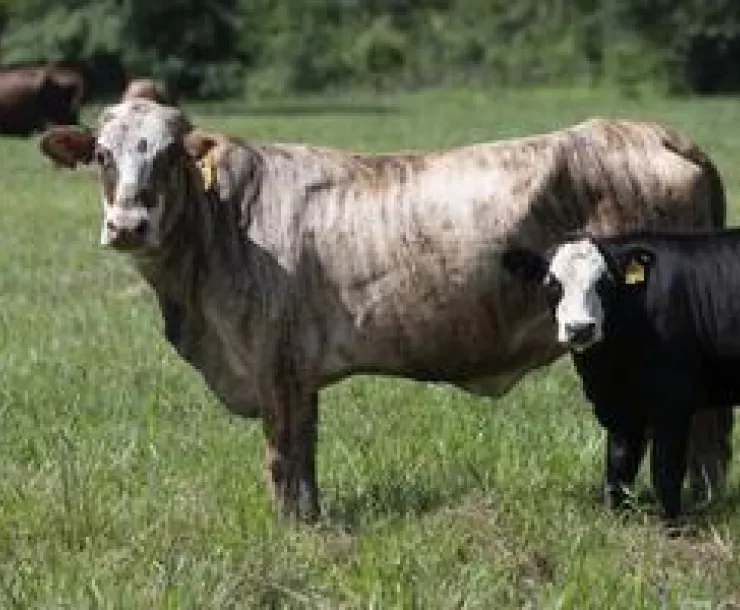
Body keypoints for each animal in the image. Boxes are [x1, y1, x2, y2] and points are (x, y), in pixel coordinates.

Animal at [502, 230, 740, 520]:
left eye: (604, 282)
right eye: (552, 283)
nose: (580, 329)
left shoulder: (673, 403)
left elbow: (665, 473)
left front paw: (671, 523)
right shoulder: (620, 407)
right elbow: (618, 466)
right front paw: (616, 519)